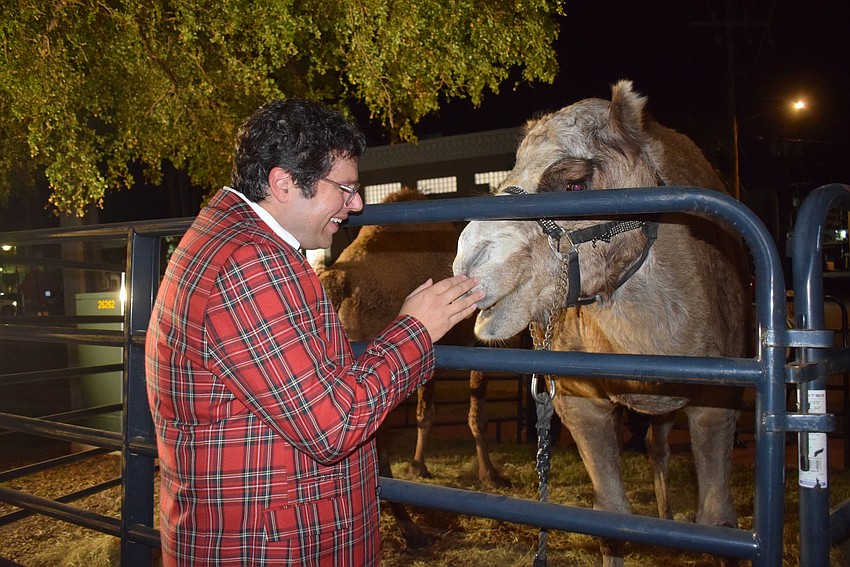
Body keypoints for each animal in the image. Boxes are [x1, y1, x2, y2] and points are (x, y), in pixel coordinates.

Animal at [318, 188, 510, 548]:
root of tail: (339, 282)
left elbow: (425, 412)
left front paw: (420, 466)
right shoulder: (480, 343)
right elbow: (478, 411)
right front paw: (491, 475)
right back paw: (410, 528)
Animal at [452, 80, 750, 566]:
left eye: (575, 182)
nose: (470, 263)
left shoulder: (720, 396)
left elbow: (719, 524)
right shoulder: (580, 400)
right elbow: (610, 520)